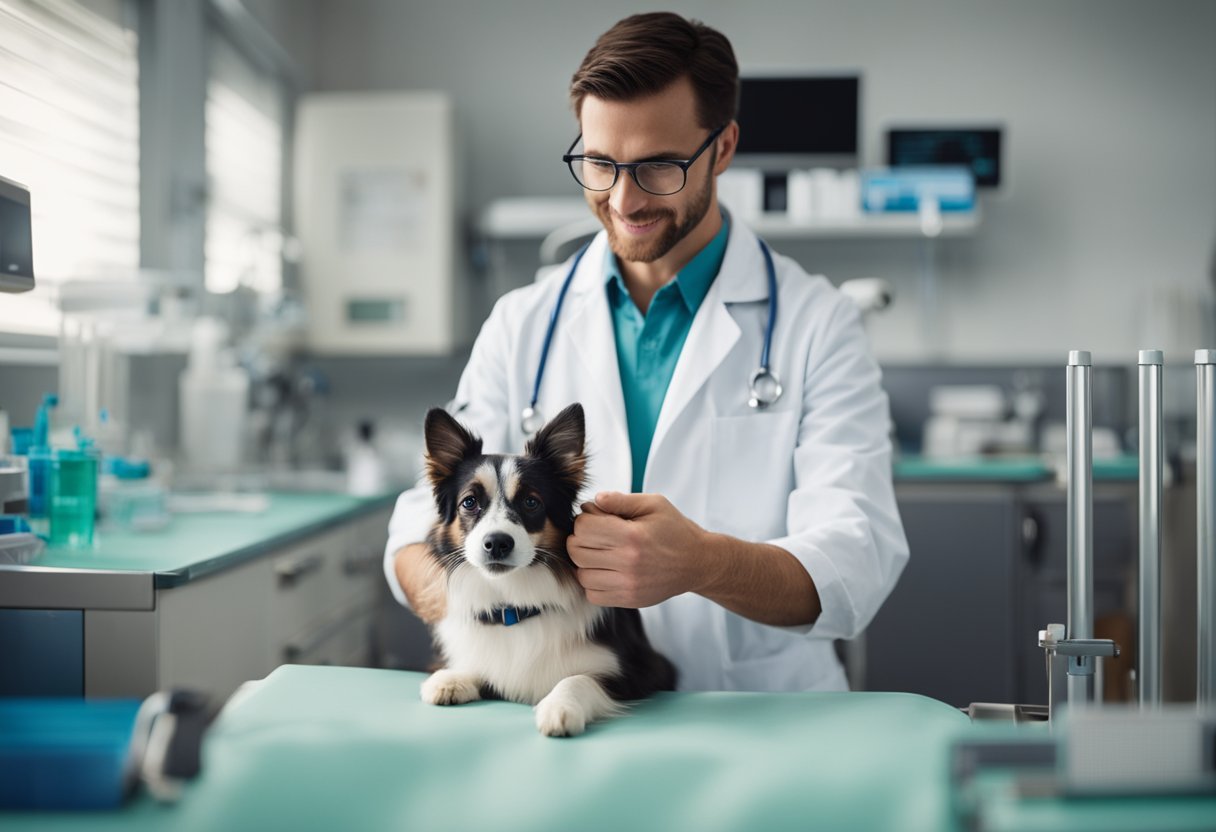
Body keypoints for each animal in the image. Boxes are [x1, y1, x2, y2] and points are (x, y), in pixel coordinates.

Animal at [420, 403, 680, 734]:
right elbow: (484, 669)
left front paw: (560, 707)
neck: (515, 606)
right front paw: (451, 678)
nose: (497, 543)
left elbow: (579, 678)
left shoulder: (645, 669)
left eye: (531, 502)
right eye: (469, 502)